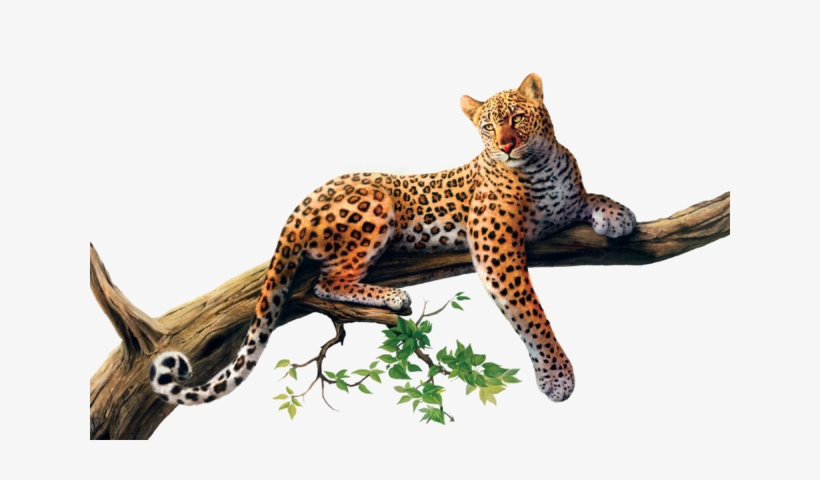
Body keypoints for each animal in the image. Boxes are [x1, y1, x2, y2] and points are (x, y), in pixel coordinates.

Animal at [150, 73, 636, 406]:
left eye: (516, 117)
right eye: (486, 126)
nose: (506, 145)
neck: (540, 165)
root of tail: (300, 205)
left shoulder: (564, 204)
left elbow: (589, 196)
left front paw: (619, 215)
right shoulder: (495, 245)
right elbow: (531, 313)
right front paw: (557, 376)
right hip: (375, 205)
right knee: (328, 280)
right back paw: (393, 297)